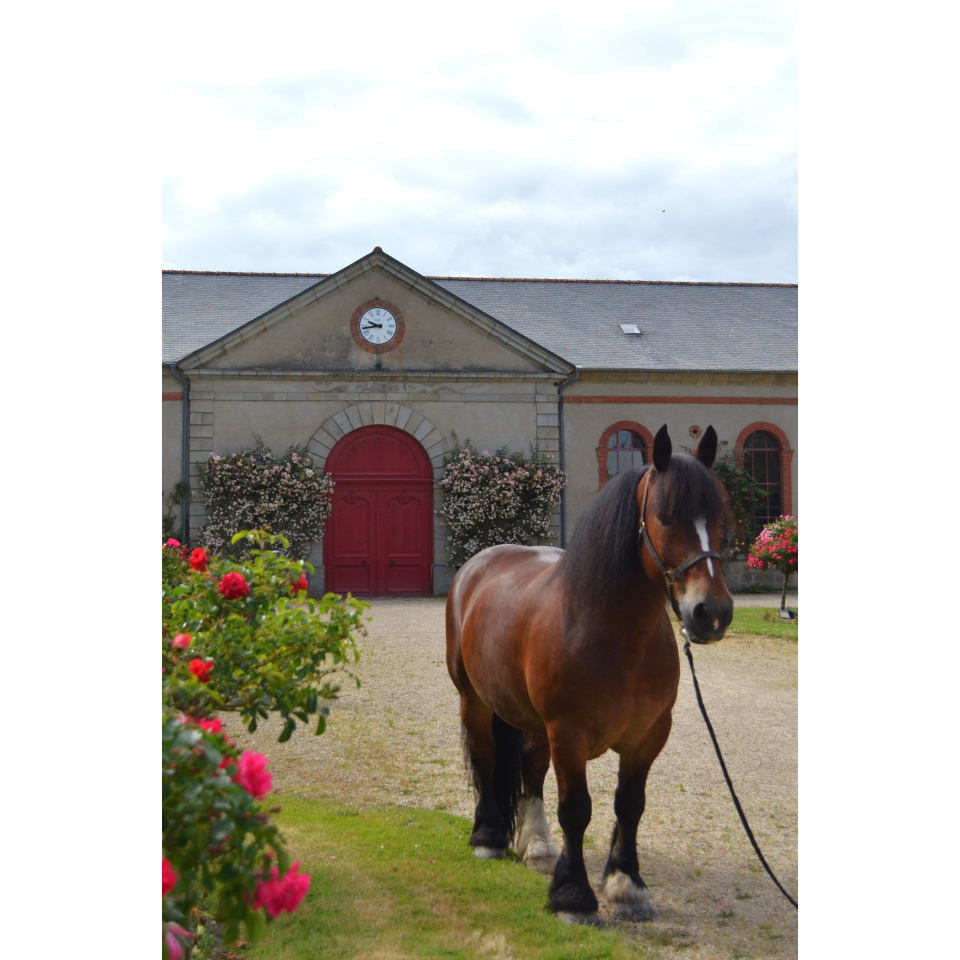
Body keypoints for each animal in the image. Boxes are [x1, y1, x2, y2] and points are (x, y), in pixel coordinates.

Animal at [446, 424, 734, 922]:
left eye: (717, 516)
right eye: (664, 515)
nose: (711, 613)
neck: (614, 633)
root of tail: (478, 565)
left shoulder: (648, 736)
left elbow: (630, 805)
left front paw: (626, 885)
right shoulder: (569, 733)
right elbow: (576, 810)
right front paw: (573, 896)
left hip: (531, 721)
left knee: (531, 768)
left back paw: (537, 847)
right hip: (475, 702)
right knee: (486, 758)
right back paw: (488, 838)